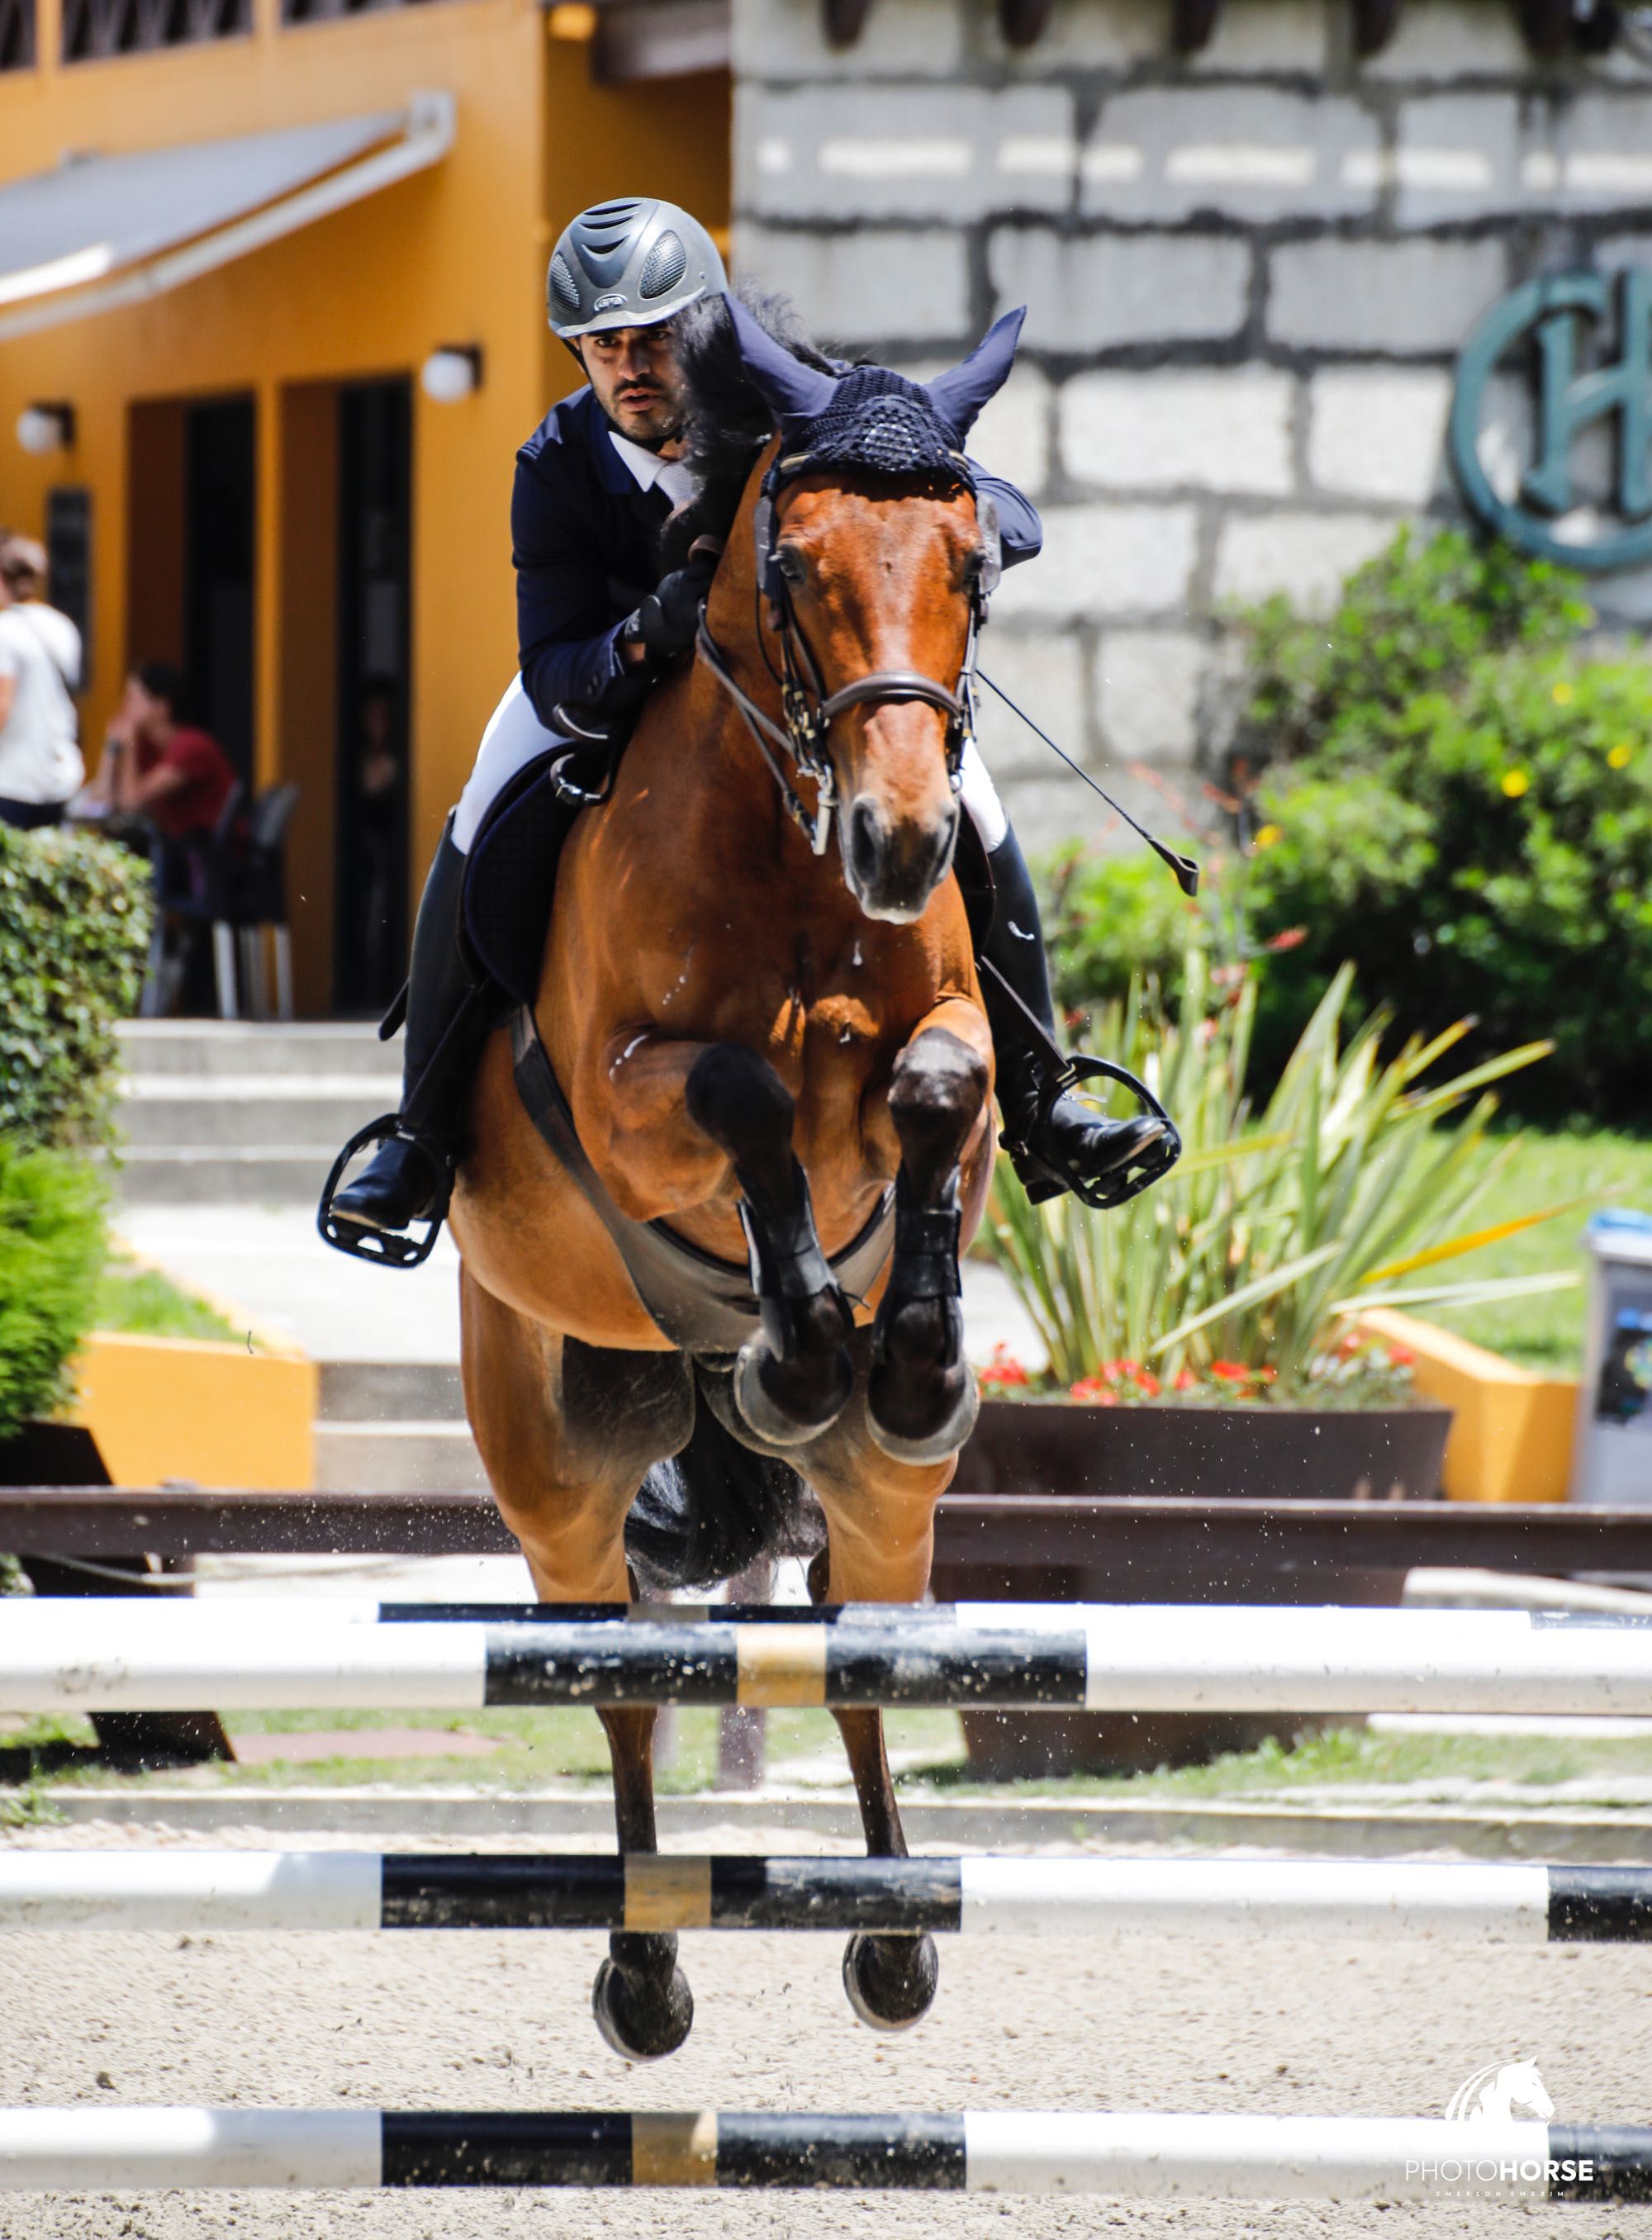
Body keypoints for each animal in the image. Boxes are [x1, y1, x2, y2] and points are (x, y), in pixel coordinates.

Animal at [444, 297, 1013, 2061]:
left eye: (972, 562)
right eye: (796, 567)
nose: (904, 841)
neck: (795, 855)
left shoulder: (954, 1039)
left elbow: (938, 1090)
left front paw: (903, 1351)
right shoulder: (630, 1090)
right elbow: (748, 1094)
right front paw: (804, 1343)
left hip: (885, 1503)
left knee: (866, 1649)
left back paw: (893, 1936)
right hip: (553, 1464)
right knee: (618, 1672)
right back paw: (644, 1973)